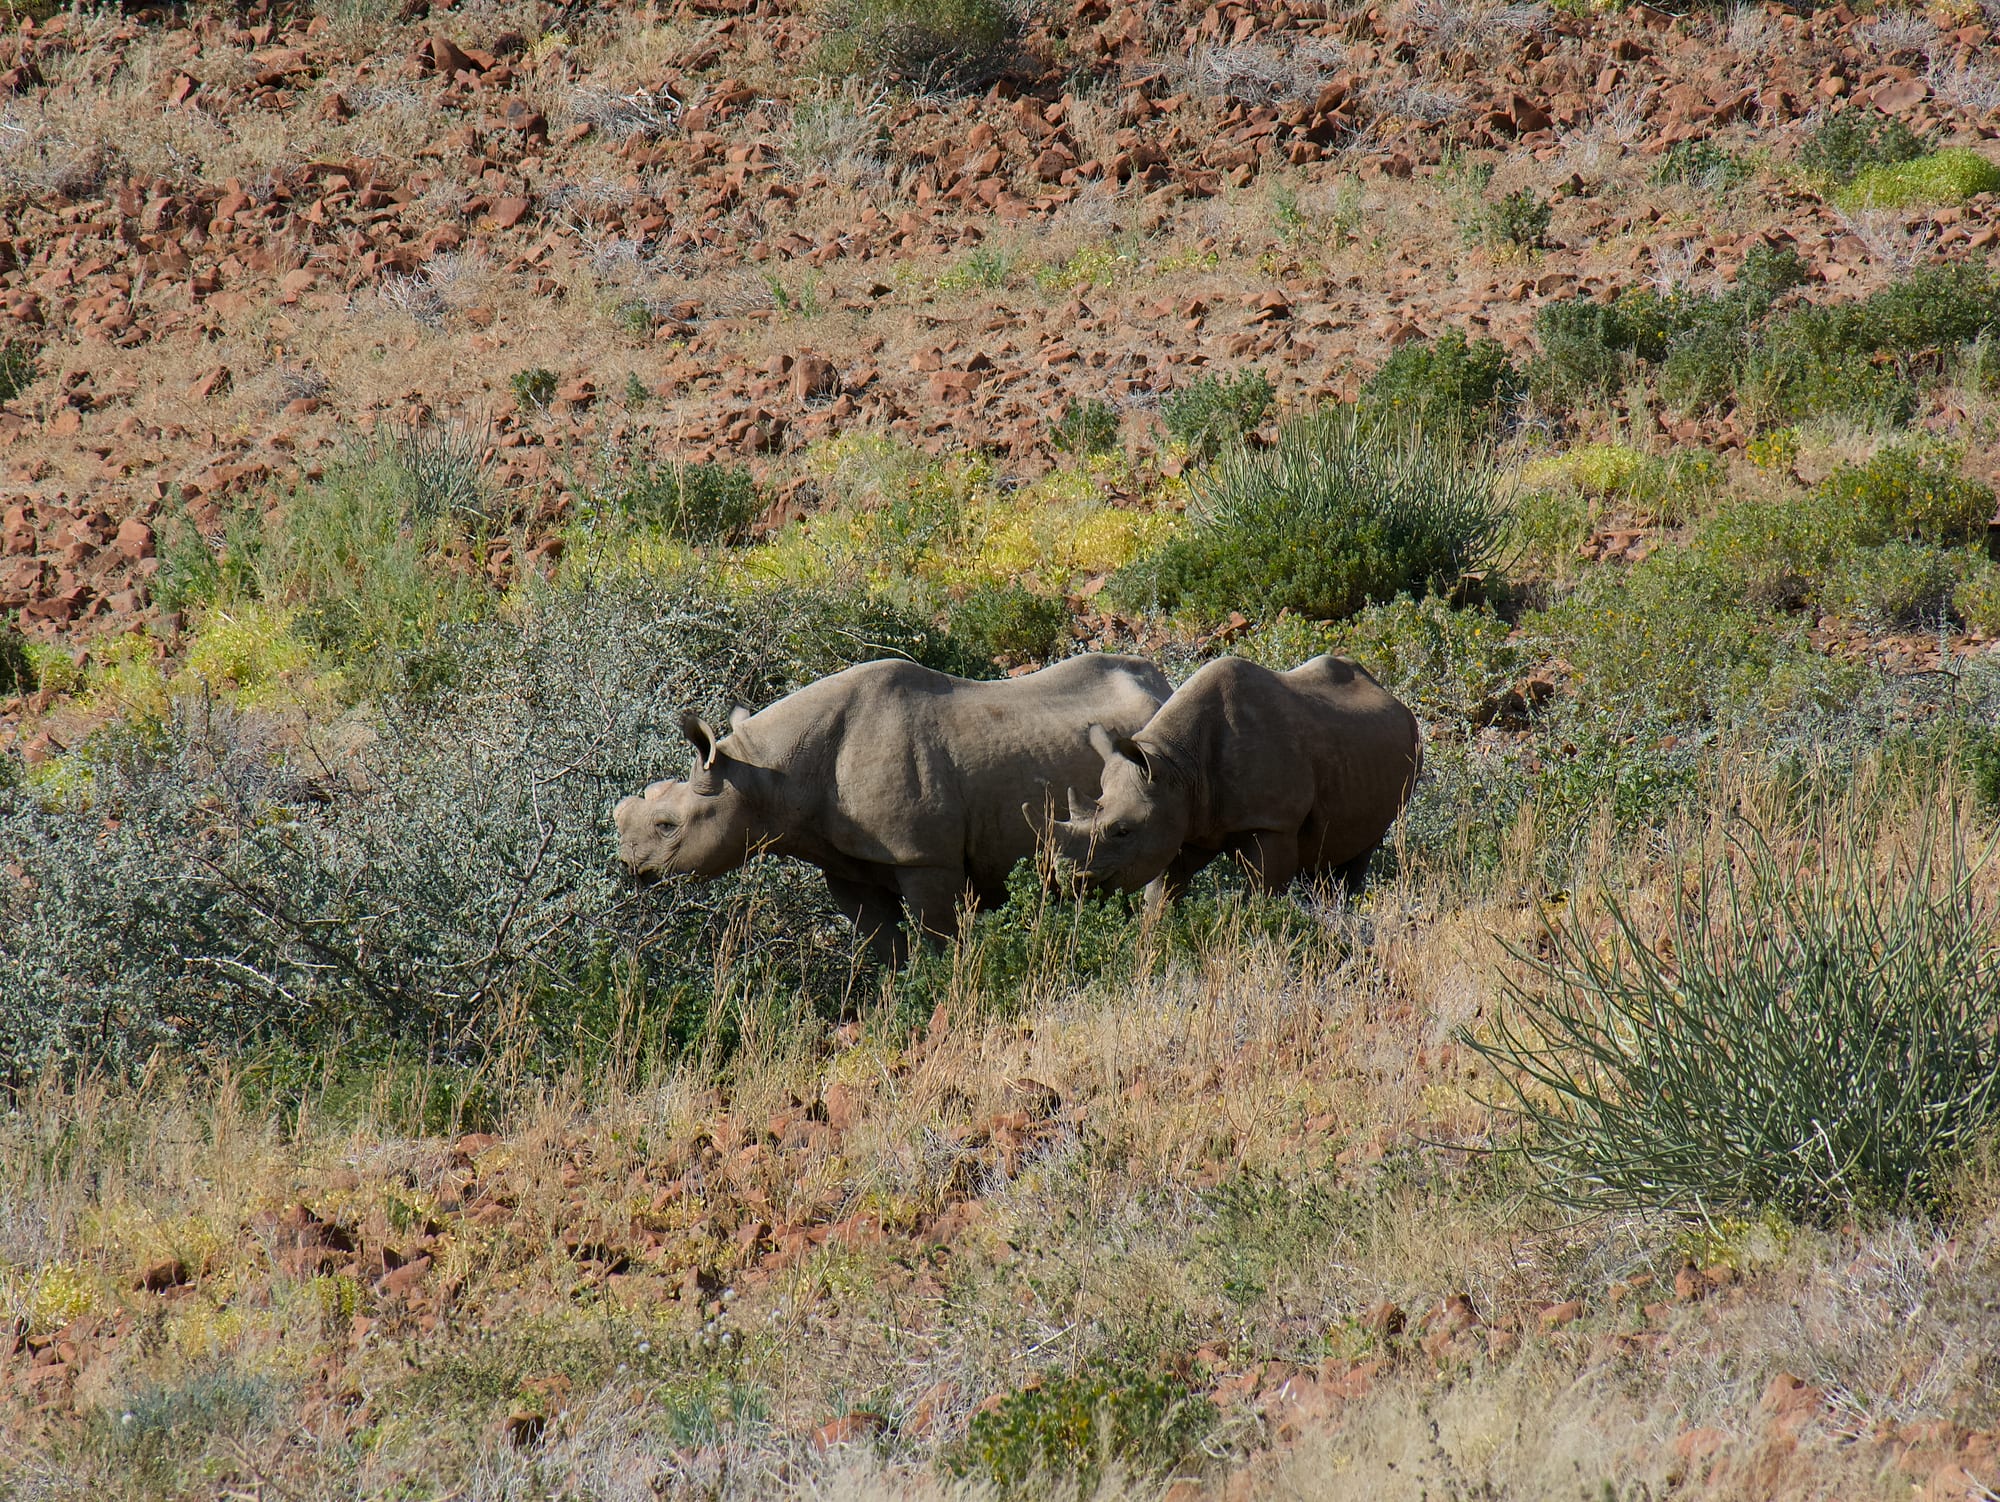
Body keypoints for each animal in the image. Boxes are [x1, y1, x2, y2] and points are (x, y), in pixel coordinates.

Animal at [613, 653, 1172, 960]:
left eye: (666, 825)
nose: (627, 865)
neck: (760, 772)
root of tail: (1163, 682)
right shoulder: (844, 863)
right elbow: (881, 945)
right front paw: (892, 1007)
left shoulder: (923, 856)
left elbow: (936, 936)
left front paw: (941, 993)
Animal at [1040, 654, 1421, 899]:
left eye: (1122, 831)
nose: (1072, 881)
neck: (1176, 765)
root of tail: (1387, 692)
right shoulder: (1180, 816)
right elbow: (1160, 894)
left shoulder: (1272, 821)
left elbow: (1264, 889)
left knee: (1359, 851)